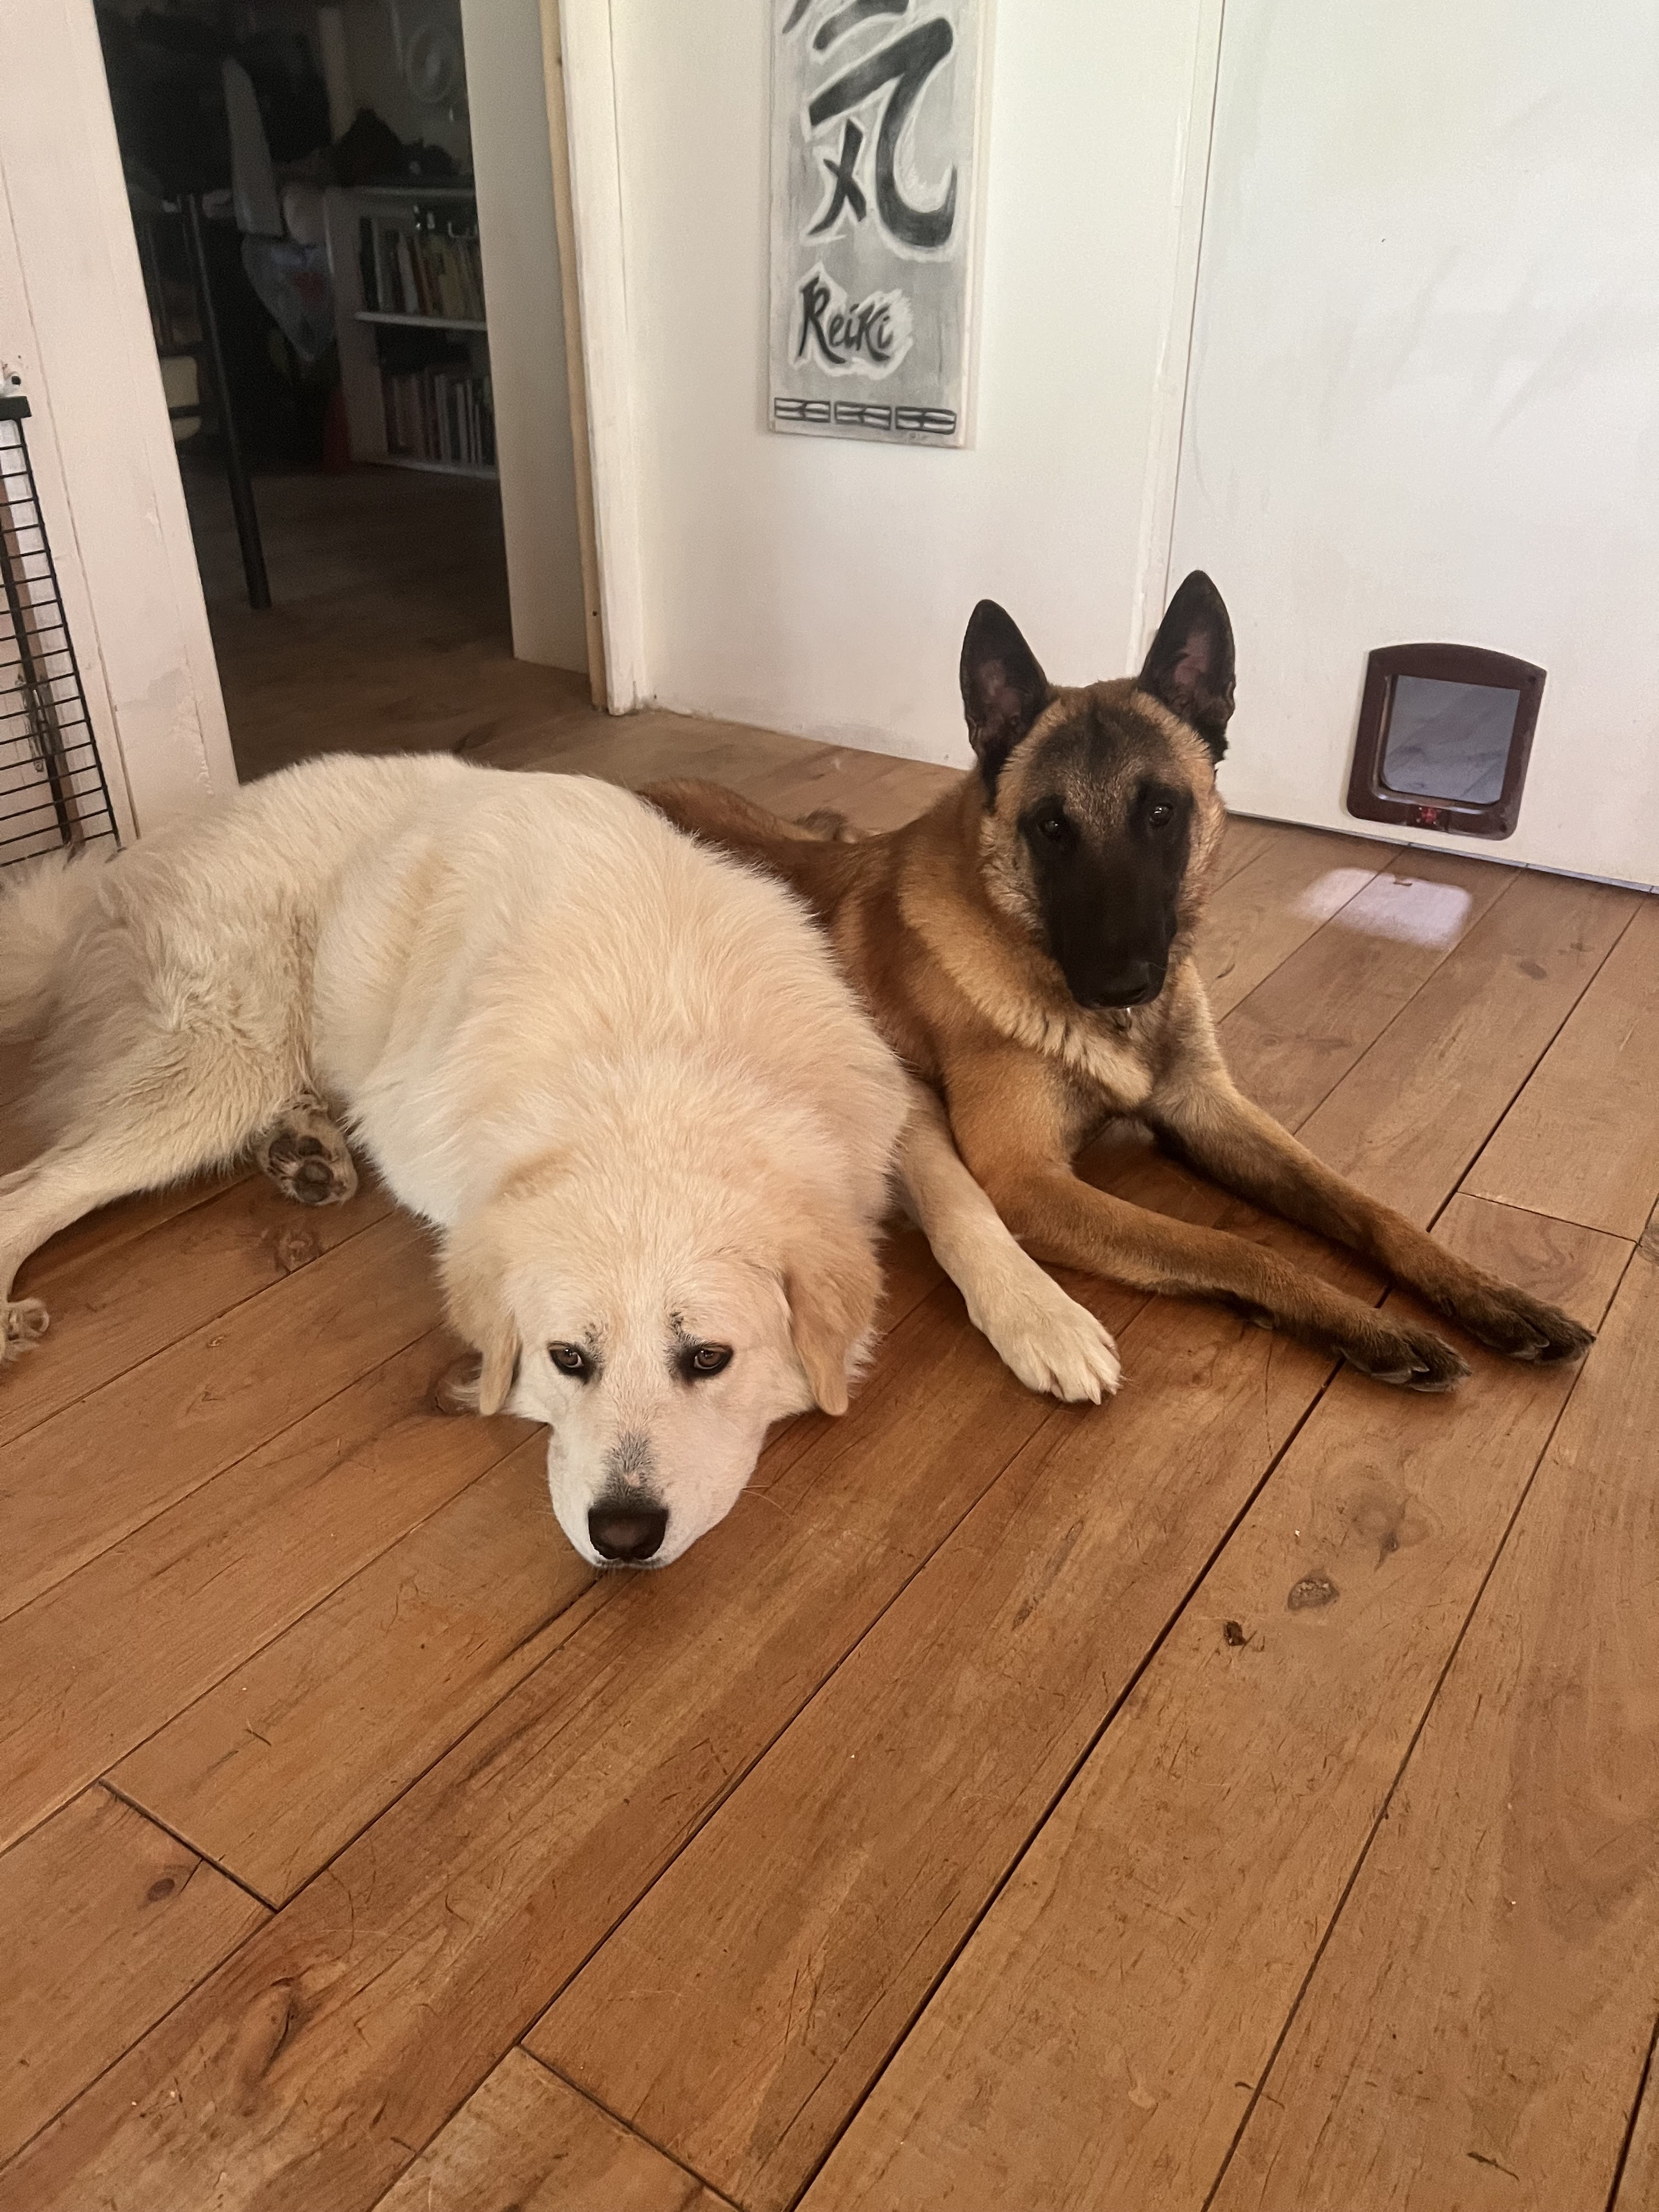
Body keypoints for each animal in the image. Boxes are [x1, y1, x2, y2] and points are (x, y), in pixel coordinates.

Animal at [0, 754, 916, 1568]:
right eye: (568, 1359)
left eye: (707, 1359)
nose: (623, 1537)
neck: (665, 1072)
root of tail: (132, 856)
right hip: (219, 1062)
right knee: (34, 1186)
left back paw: (304, 1151)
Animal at [646, 572, 1595, 1389]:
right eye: (1051, 827)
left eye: (1162, 812)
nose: (1125, 982)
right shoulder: (1027, 1181)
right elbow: (1234, 1247)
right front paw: (1360, 1322)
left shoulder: (1208, 1110)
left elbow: (1368, 1207)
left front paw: (1487, 1294)